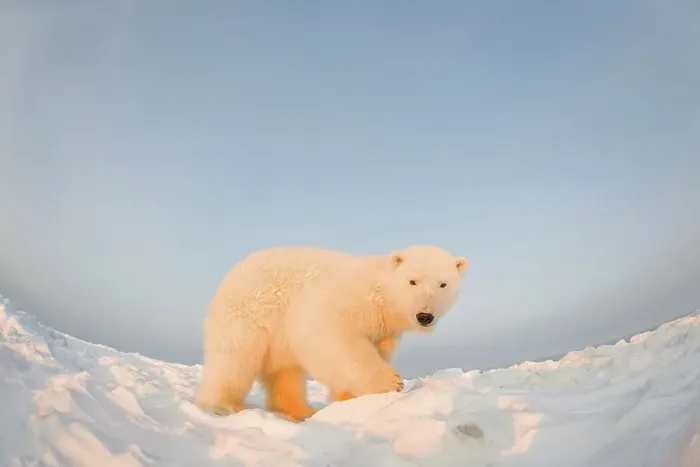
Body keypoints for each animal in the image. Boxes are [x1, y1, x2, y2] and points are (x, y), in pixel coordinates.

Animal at [195, 244, 469, 422]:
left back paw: (301, 411)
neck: (382, 297)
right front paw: (391, 382)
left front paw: (348, 398)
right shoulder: (347, 300)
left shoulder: (386, 330)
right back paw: (224, 404)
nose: (425, 316)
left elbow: (376, 351)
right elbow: (332, 337)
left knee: (286, 371)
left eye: (443, 284)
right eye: (412, 281)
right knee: (234, 356)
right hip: (251, 309)